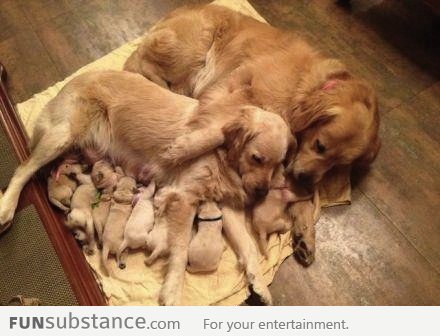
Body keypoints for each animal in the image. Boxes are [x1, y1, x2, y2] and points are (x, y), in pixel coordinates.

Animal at [0, 70, 292, 304]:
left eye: (278, 163)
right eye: (257, 158)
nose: (261, 193)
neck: (225, 157)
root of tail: (72, 81)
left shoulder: (220, 205)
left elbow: (248, 246)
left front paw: (260, 285)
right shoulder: (184, 197)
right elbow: (180, 251)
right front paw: (172, 292)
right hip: (62, 135)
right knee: (23, 169)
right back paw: (7, 208)